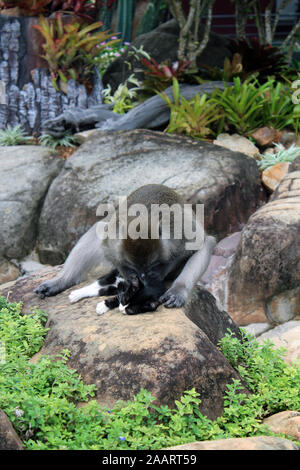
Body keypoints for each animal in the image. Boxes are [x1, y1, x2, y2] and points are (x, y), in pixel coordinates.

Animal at [34, 185, 216, 310]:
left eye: (152, 266)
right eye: (133, 267)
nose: (142, 277)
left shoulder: (180, 230)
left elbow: (205, 244)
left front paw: (177, 289)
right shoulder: (113, 240)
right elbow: (109, 251)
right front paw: (129, 281)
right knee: (98, 229)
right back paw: (63, 281)